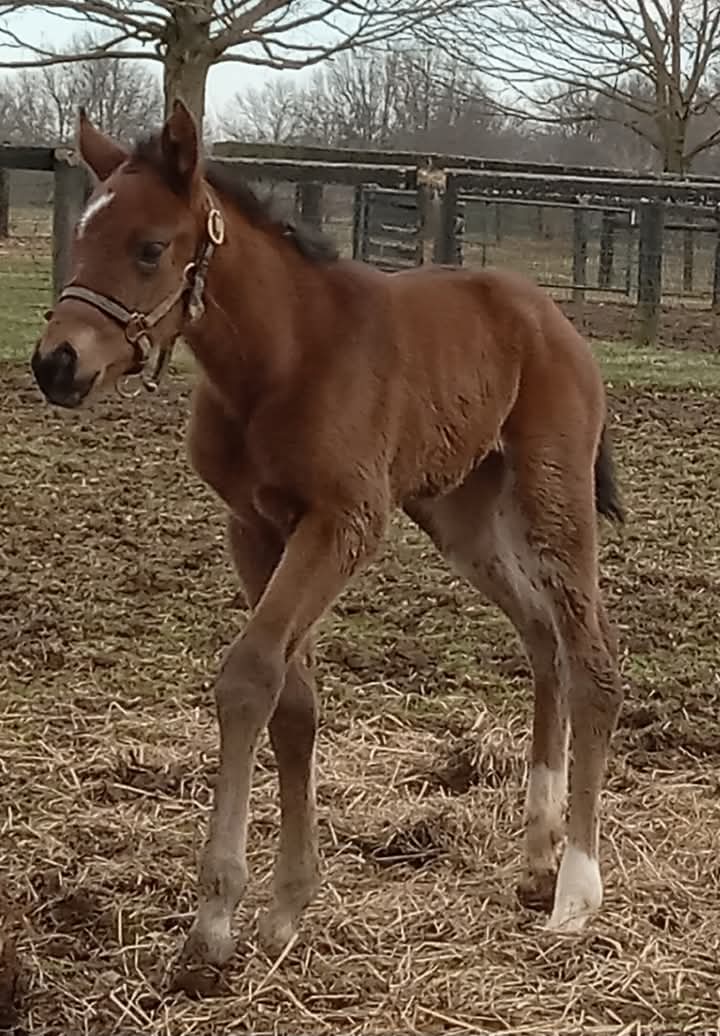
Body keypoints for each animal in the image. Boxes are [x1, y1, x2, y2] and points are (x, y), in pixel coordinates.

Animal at [31, 100, 624, 969]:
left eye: (149, 248)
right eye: (80, 238)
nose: (56, 364)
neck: (280, 359)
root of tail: (547, 312)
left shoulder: (343, 521)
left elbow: (249, 676)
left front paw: (213, 924)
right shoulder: (254, 525)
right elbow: (293, 700)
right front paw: (283, 910)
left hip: (553, 494)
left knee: (591, 657)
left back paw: (577, 889)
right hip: (460, 515)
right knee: (542, 637)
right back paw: (537, 857)